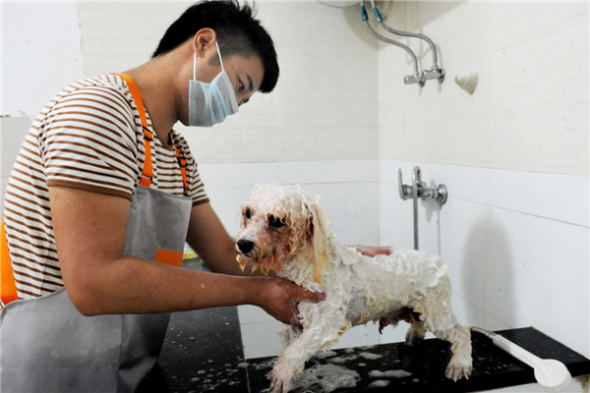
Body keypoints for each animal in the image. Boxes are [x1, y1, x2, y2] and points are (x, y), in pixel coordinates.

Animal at [236, 185, 472, 392]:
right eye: (248, 213)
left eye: (276, 220)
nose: (242, 244)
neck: (305, 267)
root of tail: (436, 261)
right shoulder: (296, 322)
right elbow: (293, 349)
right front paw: (292, 379)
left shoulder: (327, 323)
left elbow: (294, 351)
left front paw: (281, 374)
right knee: (420, 322)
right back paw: (415, 335)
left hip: (438, 314)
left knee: (462, 333)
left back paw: (460, 363)